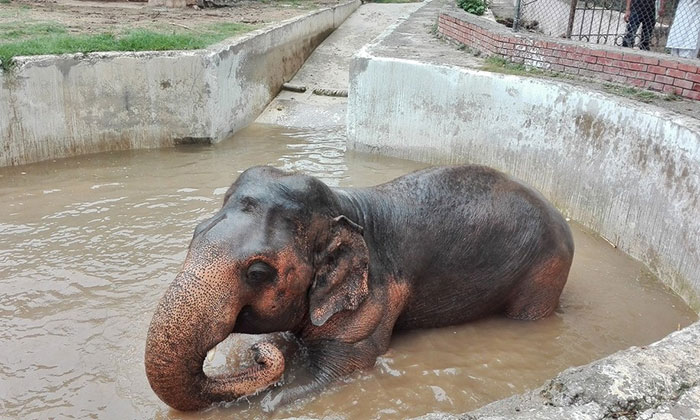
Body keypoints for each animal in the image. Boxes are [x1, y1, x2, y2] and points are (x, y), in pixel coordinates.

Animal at [145, 164, 574, 412]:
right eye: (196, 233)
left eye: (259, 272)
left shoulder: (373, 303)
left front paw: (270, 400)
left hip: (544, 274)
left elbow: (341, 370)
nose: (255, 353)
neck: (347, 210)